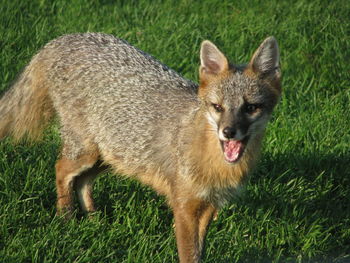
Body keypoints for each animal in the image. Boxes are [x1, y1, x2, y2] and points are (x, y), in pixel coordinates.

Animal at [0, 33, 278, 263]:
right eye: (217, 107)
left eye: (251, 108)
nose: (228, 132)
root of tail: (64, 38)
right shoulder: (184, 206)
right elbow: (189, 254)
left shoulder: (209, 204)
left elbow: (201, 249)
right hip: (87, 153)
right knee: (61, 170)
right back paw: (65, 217)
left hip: (111, 156)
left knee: (82, 181)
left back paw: (93, 218)